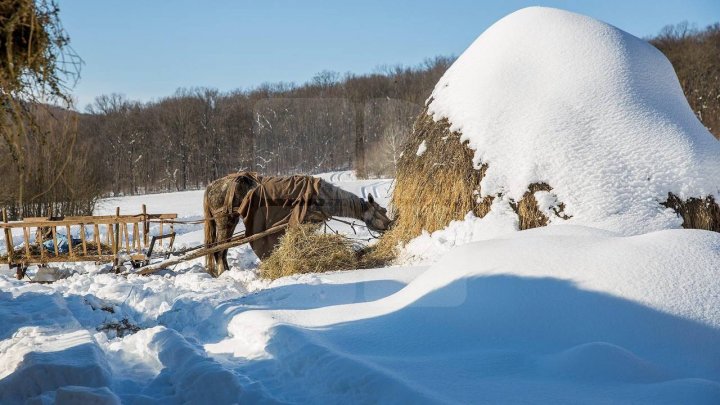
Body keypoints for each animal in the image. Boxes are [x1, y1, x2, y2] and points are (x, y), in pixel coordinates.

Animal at [202, 172, 394, 276]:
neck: (321, 197)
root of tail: (211, 186)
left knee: (222, 250)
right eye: (383, 211)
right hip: (225, 221)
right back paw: (223, 273)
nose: (392, 224)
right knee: (219, 250)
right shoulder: (301, 225)